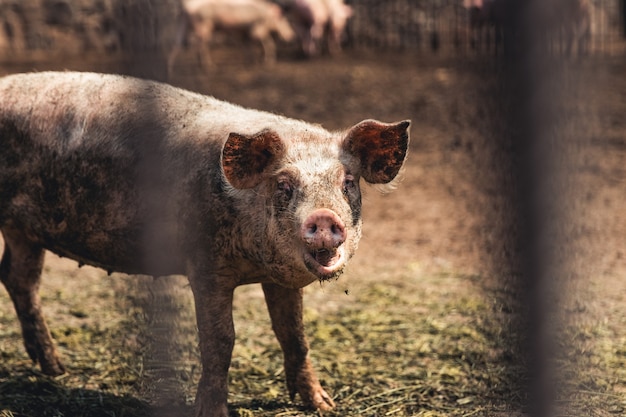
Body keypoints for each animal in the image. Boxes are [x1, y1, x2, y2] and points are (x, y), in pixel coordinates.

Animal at [0, 70, 410, 414]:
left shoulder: (278, 279)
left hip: (24, 233)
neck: (253, 263)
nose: (323, 217)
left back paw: (55, 368)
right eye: (283, 185)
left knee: (19, 279)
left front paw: (324, 405)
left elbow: (293, 334)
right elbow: (219, 341)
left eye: (348, 183)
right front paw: (212, 411)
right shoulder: (206, 267)